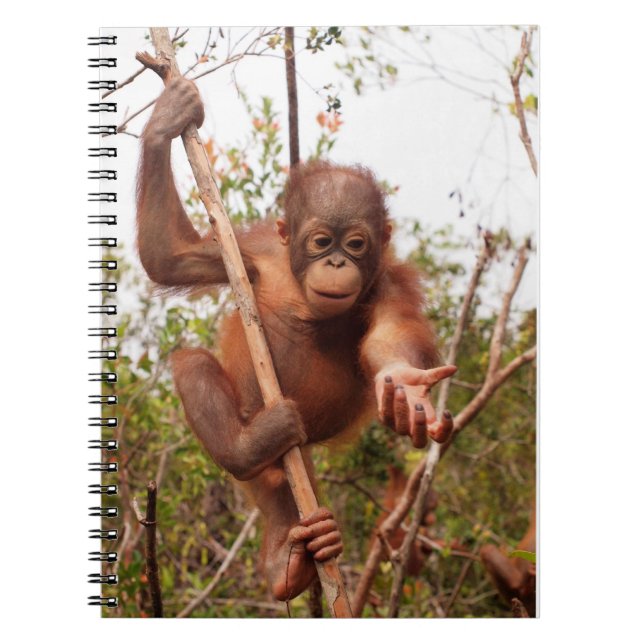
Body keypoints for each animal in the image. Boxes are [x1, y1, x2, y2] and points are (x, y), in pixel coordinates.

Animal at [136, 77, 457, 600]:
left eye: (356, 244)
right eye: (322, 241)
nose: (337, 262)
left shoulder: (390, 286)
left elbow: (390, 341)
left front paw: (407, 389)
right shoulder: (254, 253)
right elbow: (172, 256)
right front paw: (168, 117)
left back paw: (303, 550)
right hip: (254, 422)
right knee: (194, 367)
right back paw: (254, 464)